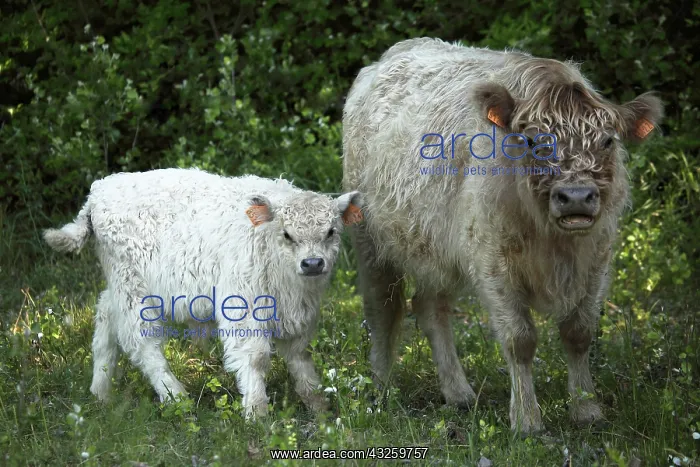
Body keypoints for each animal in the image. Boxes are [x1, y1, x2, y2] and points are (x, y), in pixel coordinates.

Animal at [342, 37, 662, 434]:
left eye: (607, 141)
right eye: (533, 140)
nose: (575, 197)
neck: (555, 245)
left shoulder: (596, 259)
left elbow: (579, 332)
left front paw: (586, 408)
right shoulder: (494, 261)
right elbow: (519, 340)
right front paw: (526, 419)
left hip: (435, 247)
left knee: (430, 308)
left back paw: (459, 393)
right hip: (370, 242)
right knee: (383, 308)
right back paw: (383, 387)